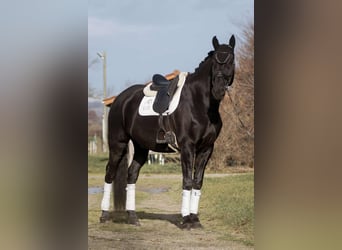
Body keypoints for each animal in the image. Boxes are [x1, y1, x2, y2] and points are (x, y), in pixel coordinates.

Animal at [99, 35, 235, 230]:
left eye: (231, 60)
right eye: (215, 62)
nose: (218, 90)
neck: (199, 103)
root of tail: (120, 99)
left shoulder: (206, 149)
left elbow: (197, 182)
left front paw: (195, 220)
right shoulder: (187, 147)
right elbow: (187, 181)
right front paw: (186, 220)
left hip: (141, 148)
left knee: (131, 175)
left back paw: (133, 217)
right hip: (118, 144)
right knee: (110, 174)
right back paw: (104, 215)